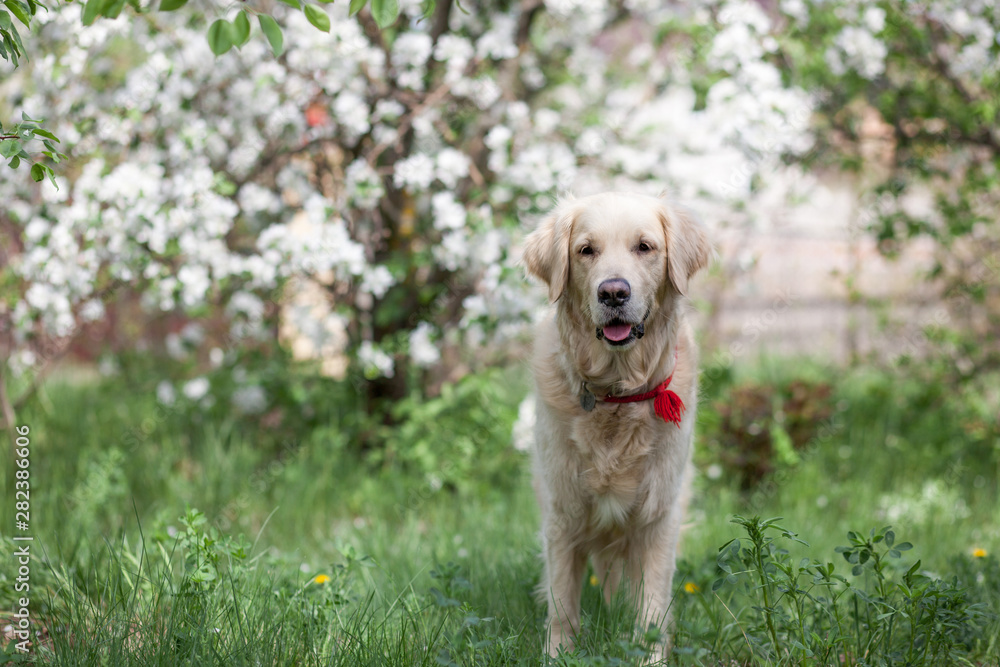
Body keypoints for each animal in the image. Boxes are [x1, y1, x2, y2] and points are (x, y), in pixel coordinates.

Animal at [524, 190, 712, 660]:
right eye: (586, 250)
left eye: (644, 247)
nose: (613, 292)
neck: (617, 393)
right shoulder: (562, 510)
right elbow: (562, 601)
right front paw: (558, 656)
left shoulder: (659, 514)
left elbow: (652, 607)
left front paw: (650, 657)